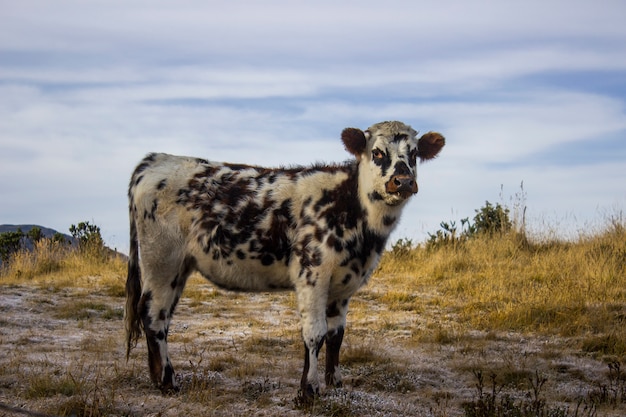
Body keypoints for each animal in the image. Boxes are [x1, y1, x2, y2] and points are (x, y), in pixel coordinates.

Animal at [123, 119, 444, 396]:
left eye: (414, 154)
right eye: (377, 152)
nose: (403, 181)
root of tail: (156, 159)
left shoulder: (344, 284)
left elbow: (336, 335)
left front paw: (335, 383)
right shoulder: (312, 272)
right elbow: (314, 333)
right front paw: (309, 392)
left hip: (177, 268)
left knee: (161, 316)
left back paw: (157, 378)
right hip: (161, 260)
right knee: (153, 315)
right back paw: (168, 382)